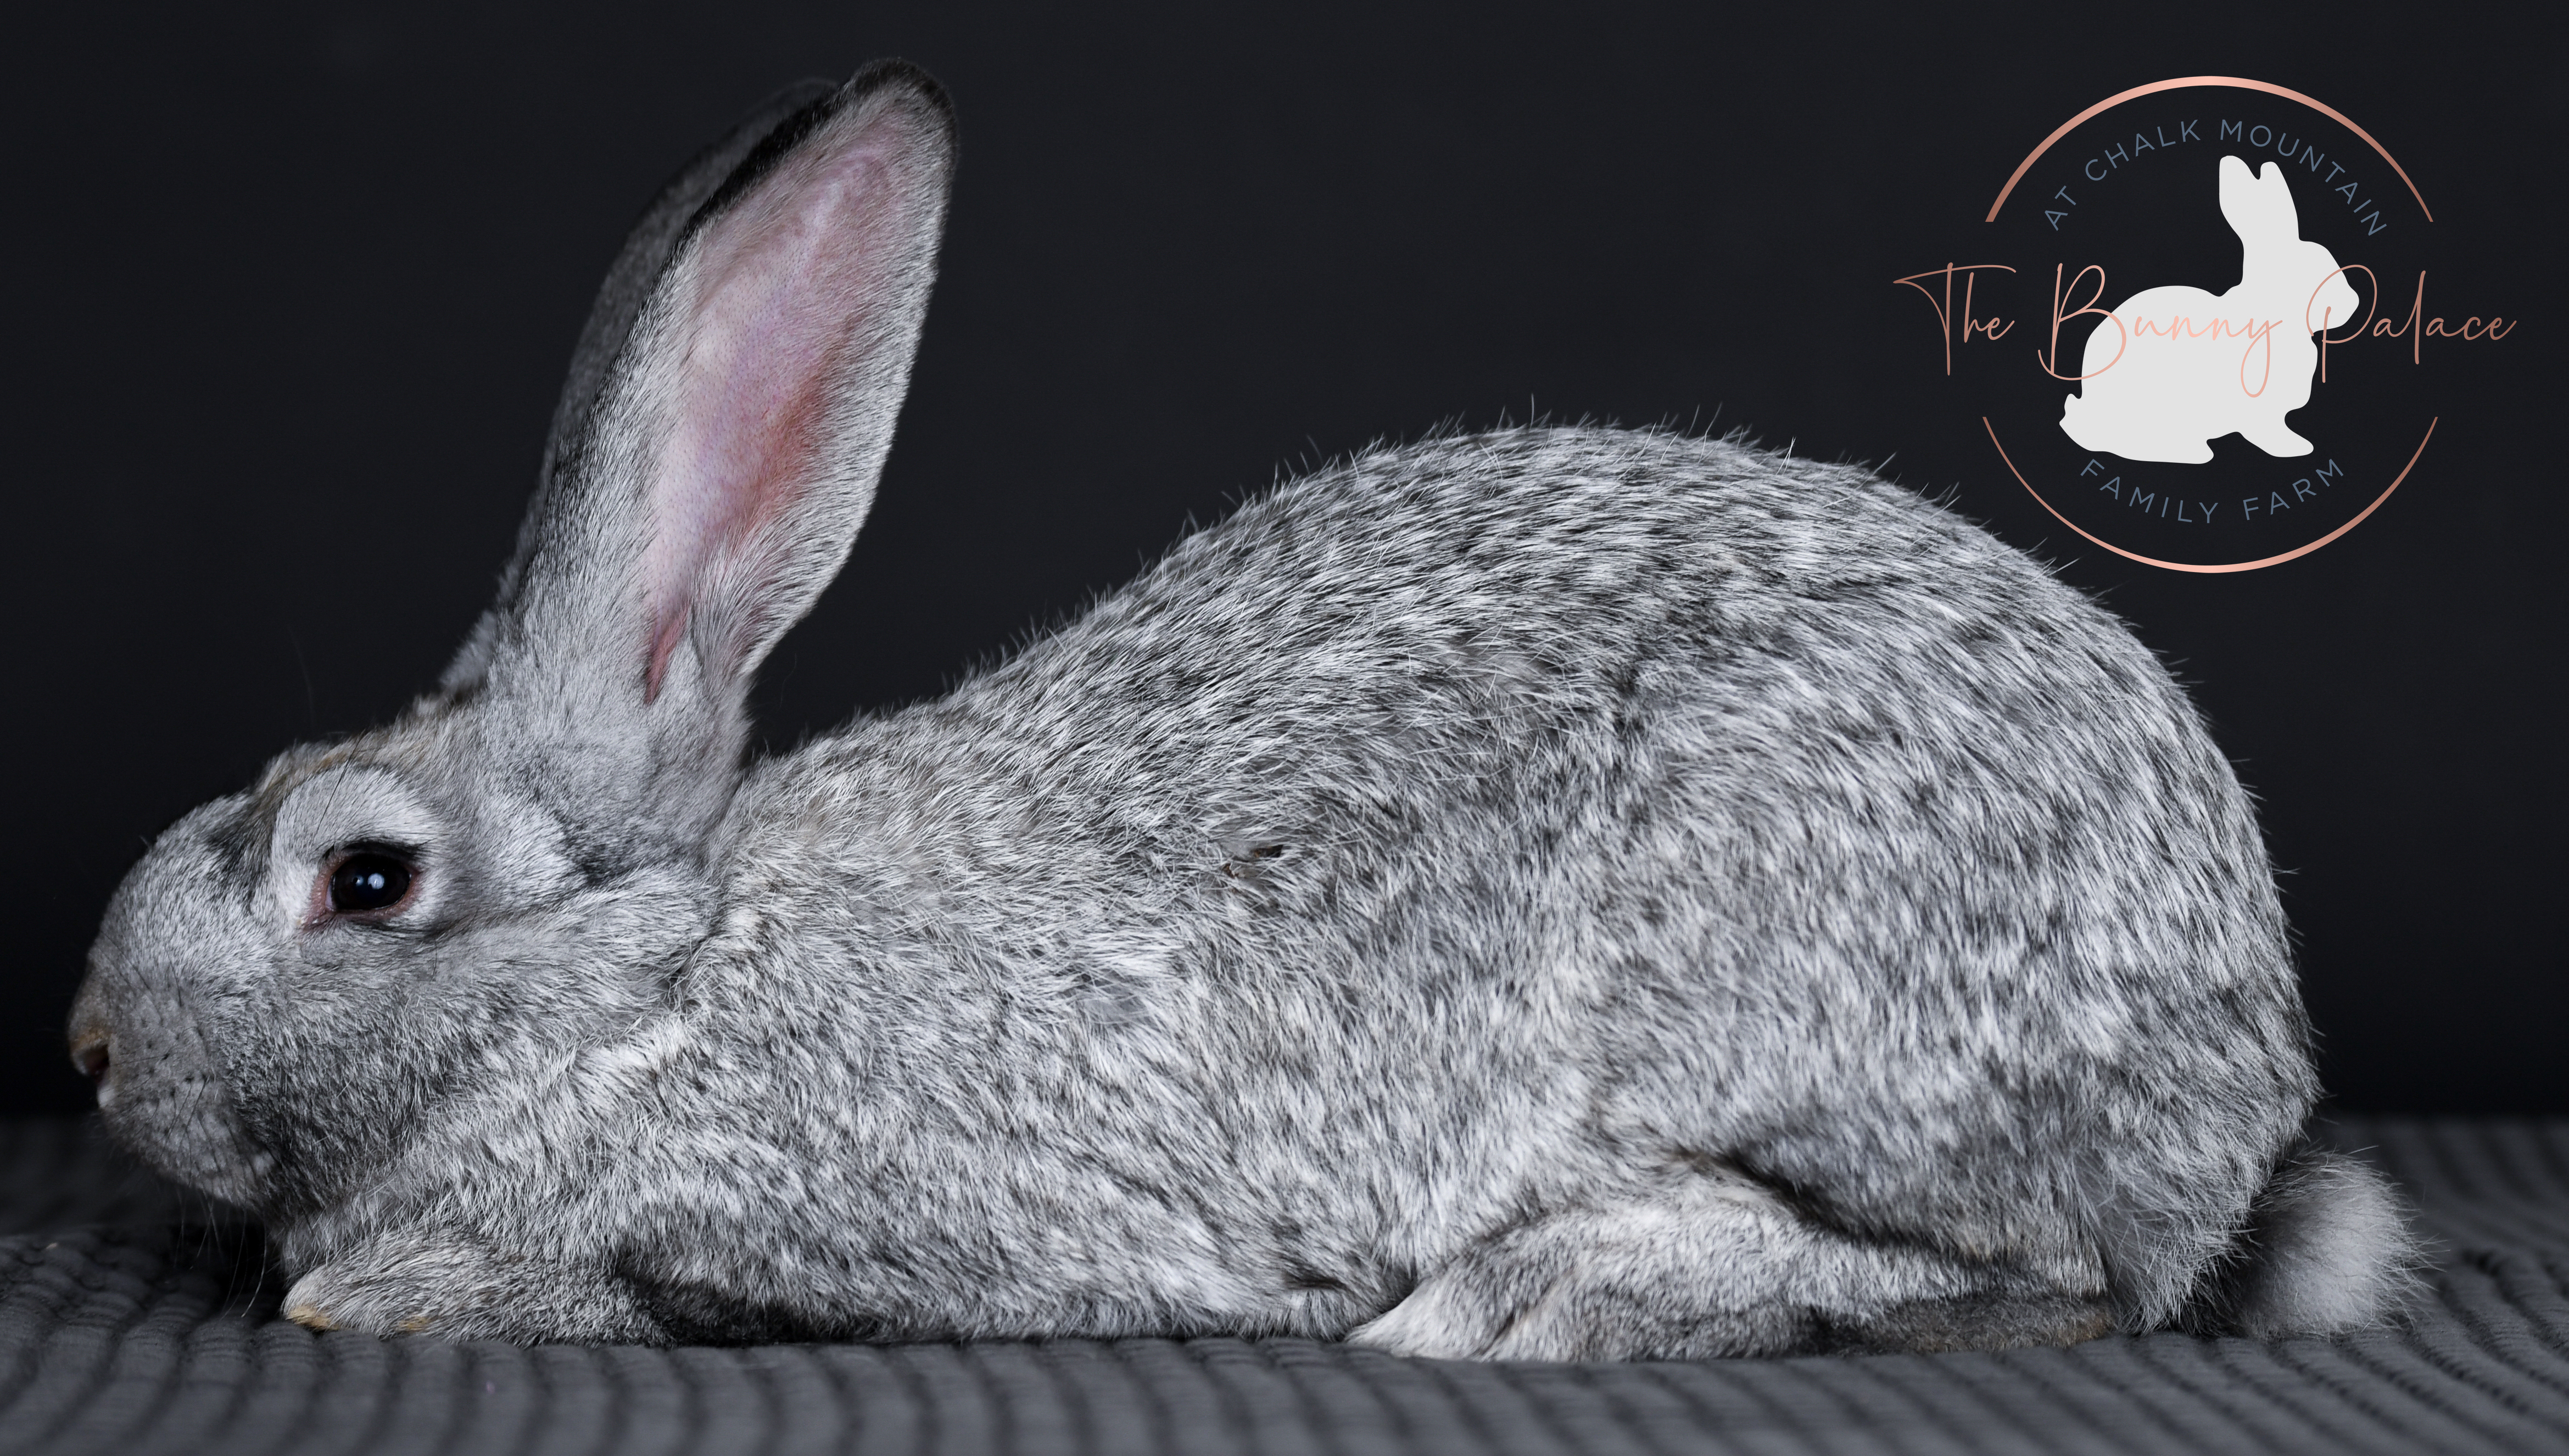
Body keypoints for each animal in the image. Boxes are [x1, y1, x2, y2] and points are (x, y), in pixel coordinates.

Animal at [2059, 154, 2363, 465]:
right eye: (2309, 270)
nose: (2352, 302)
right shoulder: (2258, 408)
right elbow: (2266, 431)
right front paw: (2293, 450)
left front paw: (2299, 445)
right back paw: (2194, 453)